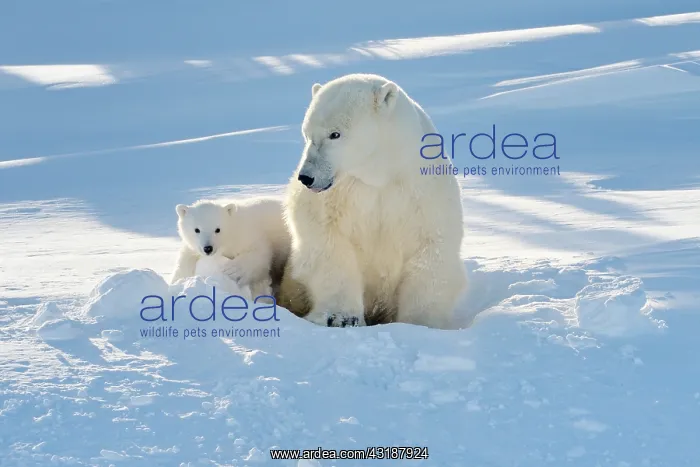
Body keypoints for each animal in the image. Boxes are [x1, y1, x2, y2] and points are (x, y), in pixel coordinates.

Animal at [277, 73, 467, 329]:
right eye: (307, 134)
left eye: (335, 134)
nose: (306, 177)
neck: (377, 175)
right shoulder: (336, 198)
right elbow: (329, 245)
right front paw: (339, 318)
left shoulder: (421, 192)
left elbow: (430, 249)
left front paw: (421, 323)